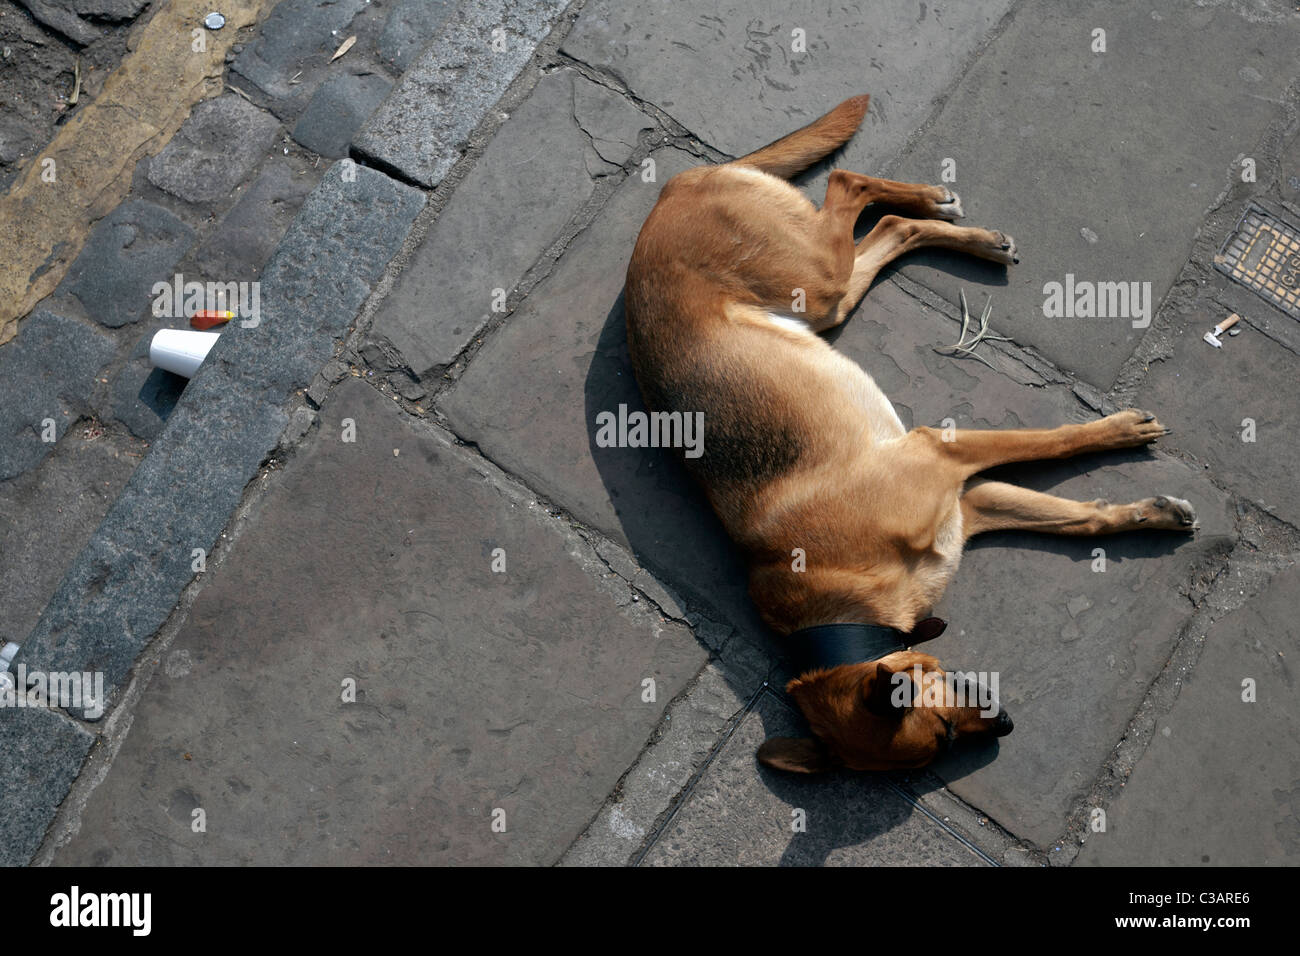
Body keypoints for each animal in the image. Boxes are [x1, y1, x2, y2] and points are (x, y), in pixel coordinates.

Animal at [624, 93, 1190, 775]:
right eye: (941, 743)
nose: (1005, 725)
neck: (843, 602)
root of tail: (675, 186)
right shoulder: (969, 505)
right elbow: (1080, 518)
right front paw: (1150, 512)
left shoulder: (939, 454)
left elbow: (1048, 441)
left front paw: (1117, 432)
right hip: (824, 298)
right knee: (892, 228)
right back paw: (962, 228)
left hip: (813, 277)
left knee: (850, 186)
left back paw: (940, 210)